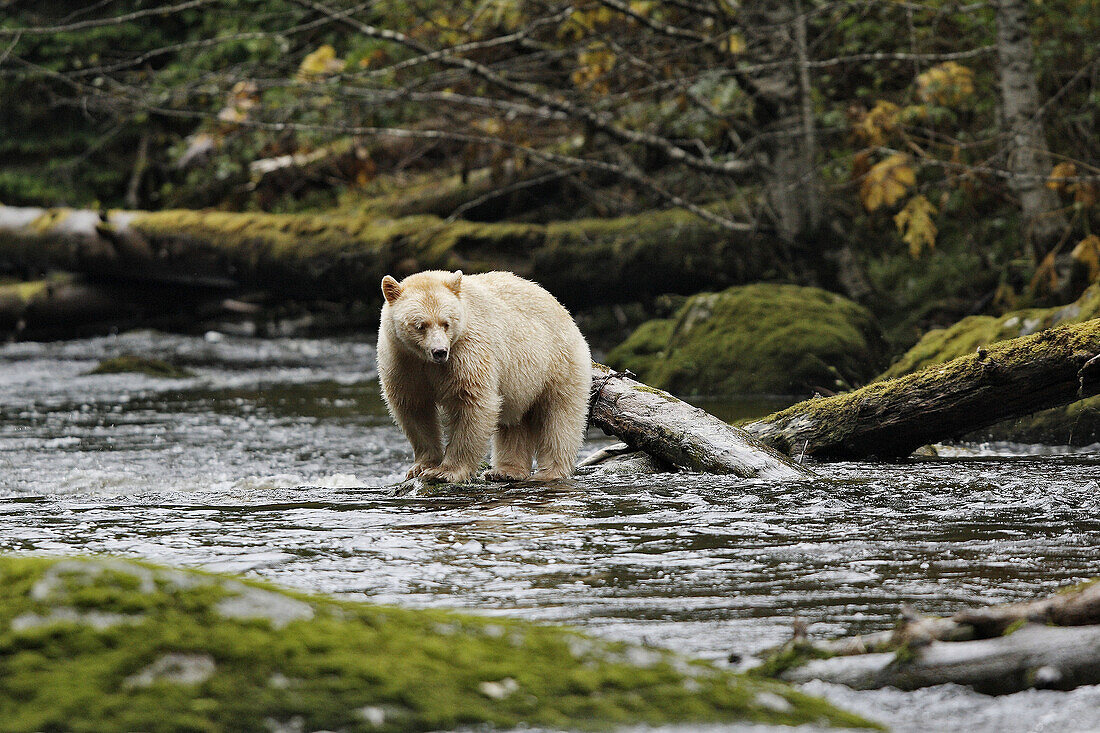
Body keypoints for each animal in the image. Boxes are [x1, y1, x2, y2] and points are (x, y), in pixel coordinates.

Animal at [376, 270, 589, 482]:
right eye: (420, 325)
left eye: (446, 323)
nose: (440, 352)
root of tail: (565, 312)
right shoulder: (403, 361)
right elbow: (414, 407)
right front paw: (420, 466)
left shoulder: (466, 350)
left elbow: (472, 401)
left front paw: (444, 472)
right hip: (520, 383)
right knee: (514, 422)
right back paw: (505, 471)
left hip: (557, 364)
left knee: (559, 418)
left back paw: (548, 472)